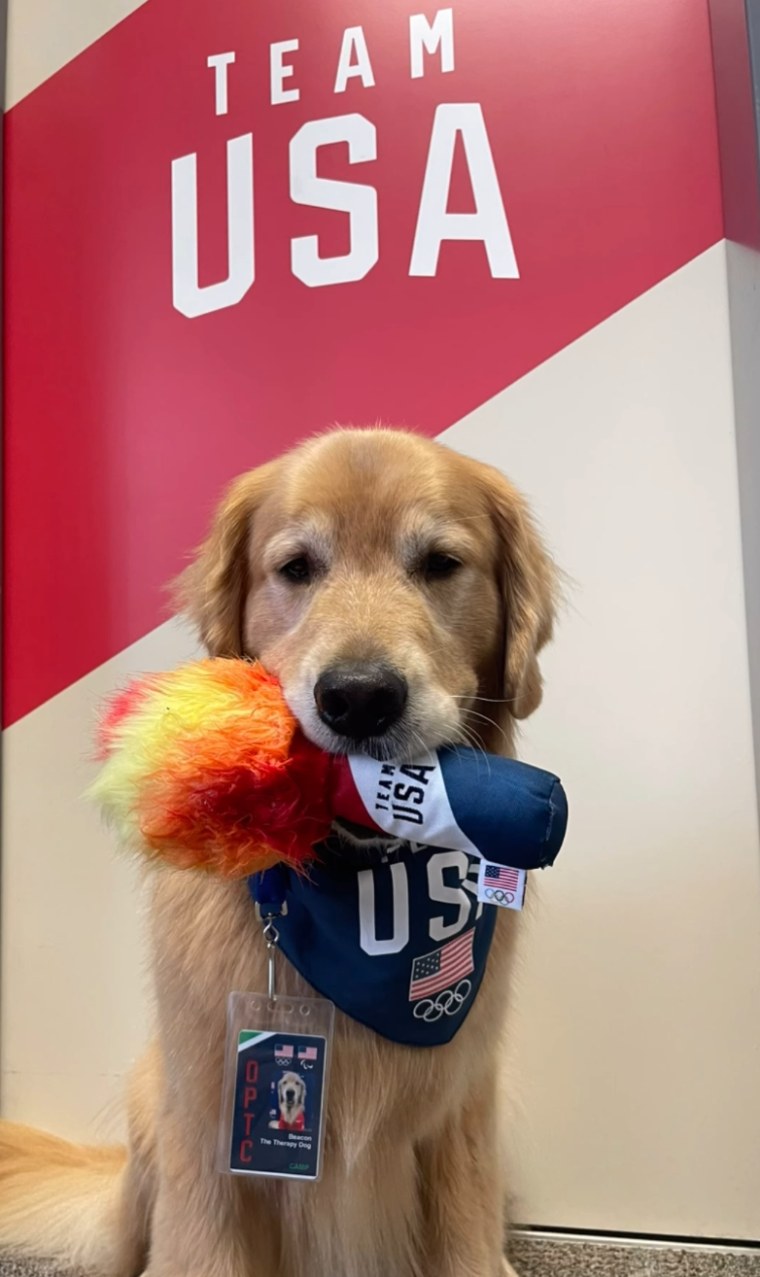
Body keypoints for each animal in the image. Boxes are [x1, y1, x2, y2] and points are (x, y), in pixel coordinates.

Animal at [0, 429, 559, 1277]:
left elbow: (465, 1244)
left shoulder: (459, 1123)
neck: (354, 897)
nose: (358, 697)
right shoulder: (208, 1139)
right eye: (296, 567)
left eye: (440, 563)